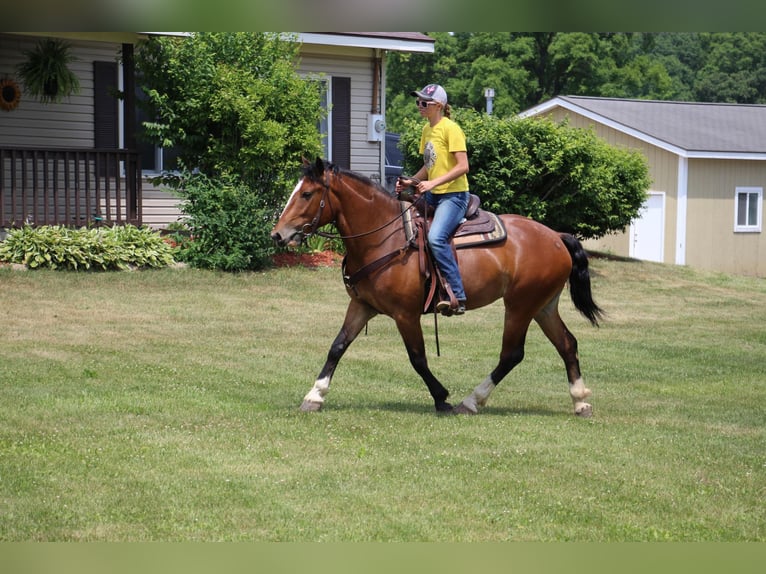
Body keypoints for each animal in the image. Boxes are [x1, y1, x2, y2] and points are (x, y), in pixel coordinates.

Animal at [272, 159, 608, 418]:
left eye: (307, 193)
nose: (277, 234)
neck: (386, 238)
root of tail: (556, 236)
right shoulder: (362, 306)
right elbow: (337, 346)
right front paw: (315, 395)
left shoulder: (405, 314)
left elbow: (417, 358)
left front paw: (441, 398)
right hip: (543, 305)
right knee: (567, 344)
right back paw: (580, 401)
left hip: (520, 305)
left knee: (511, 354)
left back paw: (471, 401)